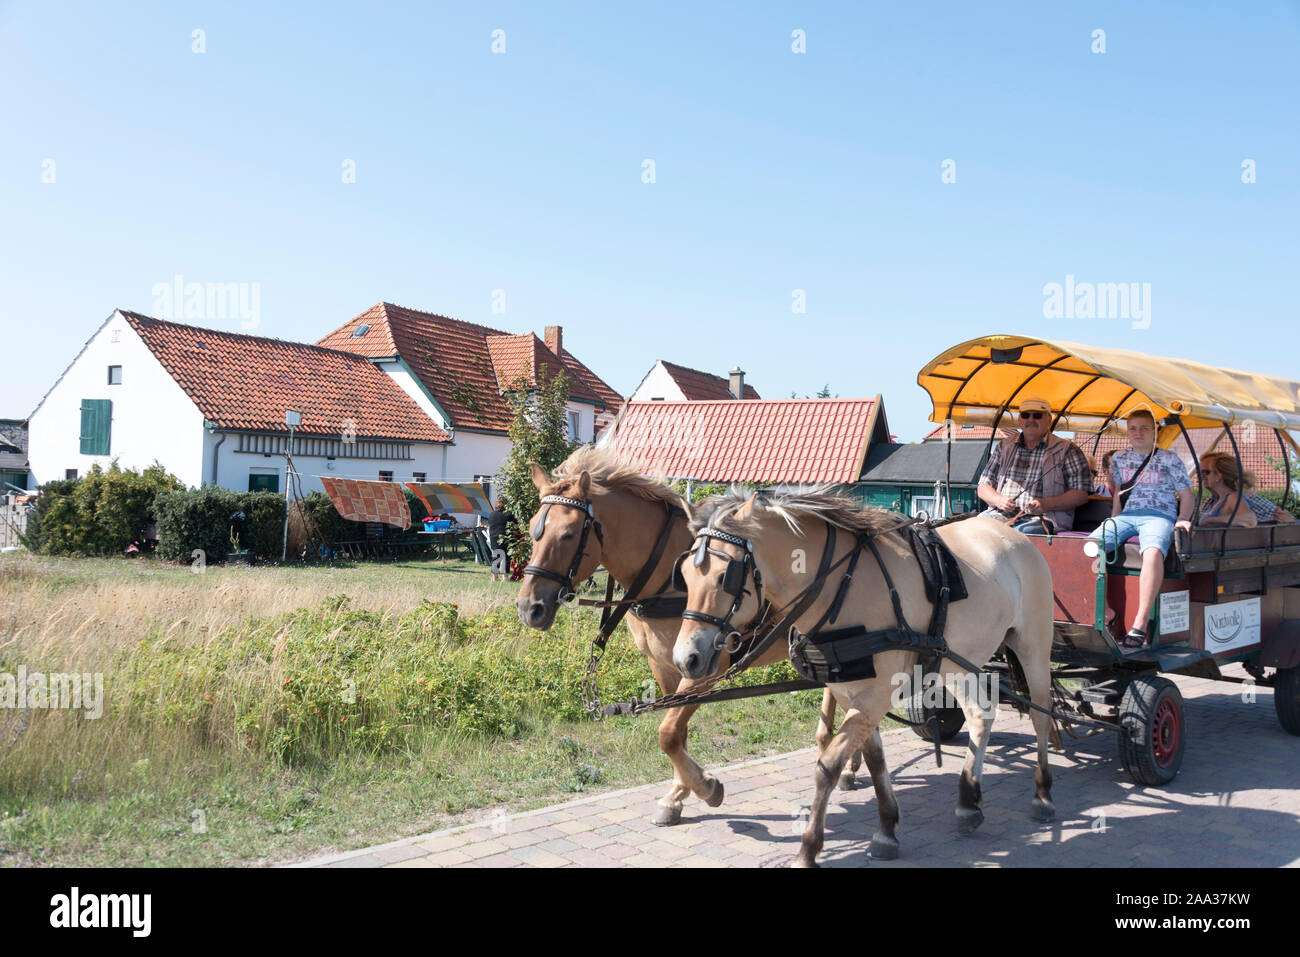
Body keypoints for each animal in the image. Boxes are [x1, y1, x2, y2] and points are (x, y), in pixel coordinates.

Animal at [512, 452, 868, 826]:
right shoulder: (666, 665)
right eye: (533, 528)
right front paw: (678, 794)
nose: (529, 607)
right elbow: (676, 731)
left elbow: (668, 734)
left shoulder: (706, 667)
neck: (667, 575)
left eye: (567, 535)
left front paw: (705, 787)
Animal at [670, 488, 1055, 868]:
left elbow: (827, 766)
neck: (843, 586)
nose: (685, 658)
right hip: (958, 660)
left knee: (1041, 716)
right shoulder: (850, 694)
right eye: (684, 575)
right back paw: (968, 800)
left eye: (726, 577)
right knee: (979, 714)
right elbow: (874, 760)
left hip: (1033, 646)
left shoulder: (875, 695)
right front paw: (886, 829)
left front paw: (809, 848)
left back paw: (1043, 794)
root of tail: (1015, 534)